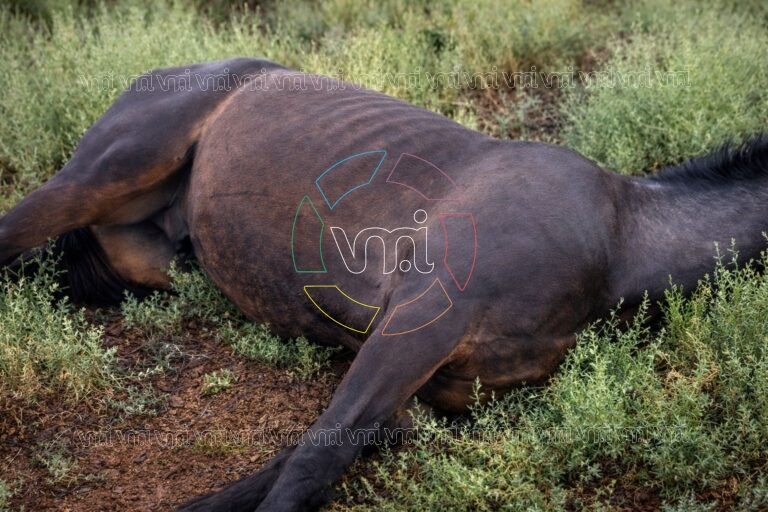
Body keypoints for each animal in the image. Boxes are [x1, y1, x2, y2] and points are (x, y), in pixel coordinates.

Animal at [1, 58, 766, 511]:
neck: (617, 237)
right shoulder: (415, 326)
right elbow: (312, 462)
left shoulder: (430, 393)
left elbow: (295, 460)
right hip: (101, 174)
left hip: (145, 264)